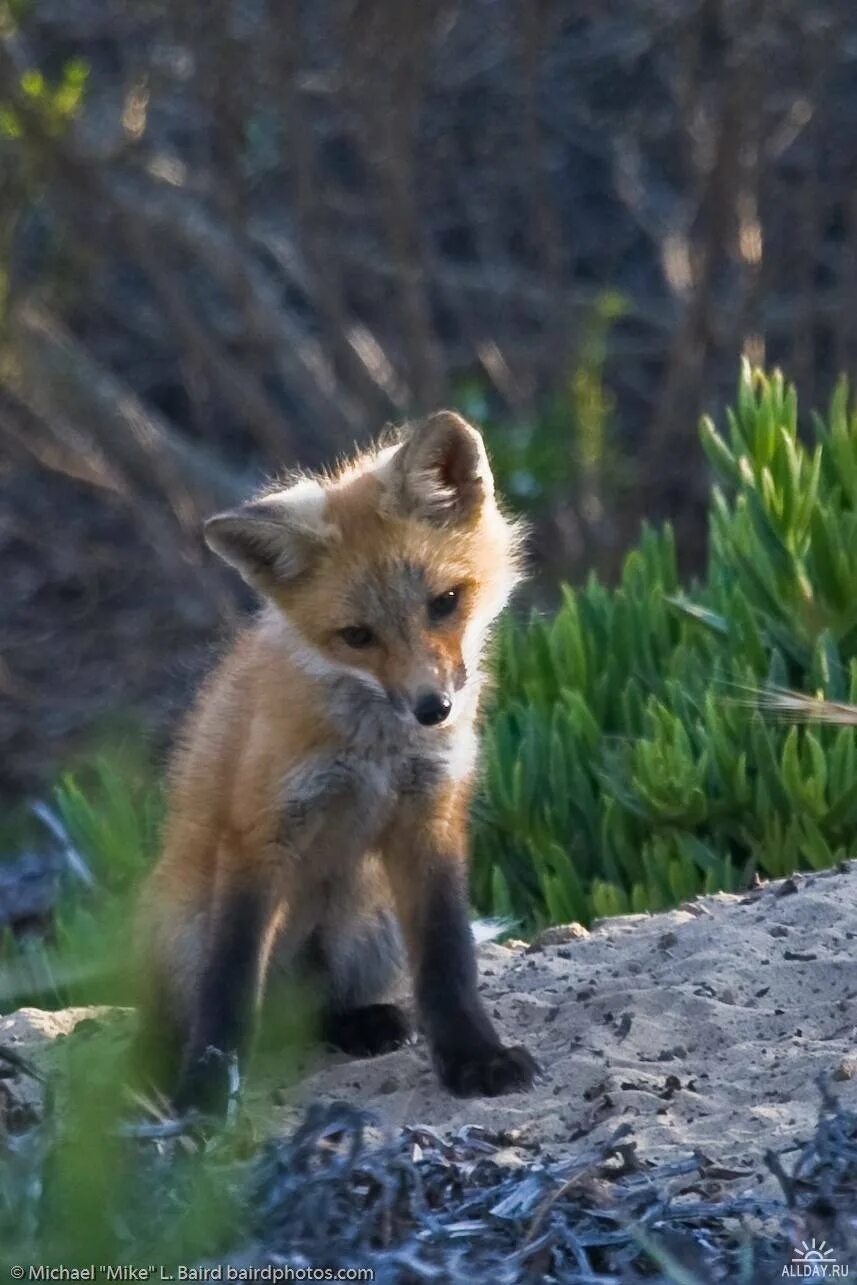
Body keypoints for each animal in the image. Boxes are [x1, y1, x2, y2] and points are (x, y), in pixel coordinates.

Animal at [135, 413, 537, 1115]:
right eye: (357, 636)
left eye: (445, 601)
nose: (433, 709)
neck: (375, 750)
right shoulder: (261, 831)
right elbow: (228, 989)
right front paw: (205, 1097)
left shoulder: (430, 817)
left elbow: (448, 960)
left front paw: (474, 1057)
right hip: (185, 926)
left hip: (371, 932)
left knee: (324, 1012)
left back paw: (360, 1022)